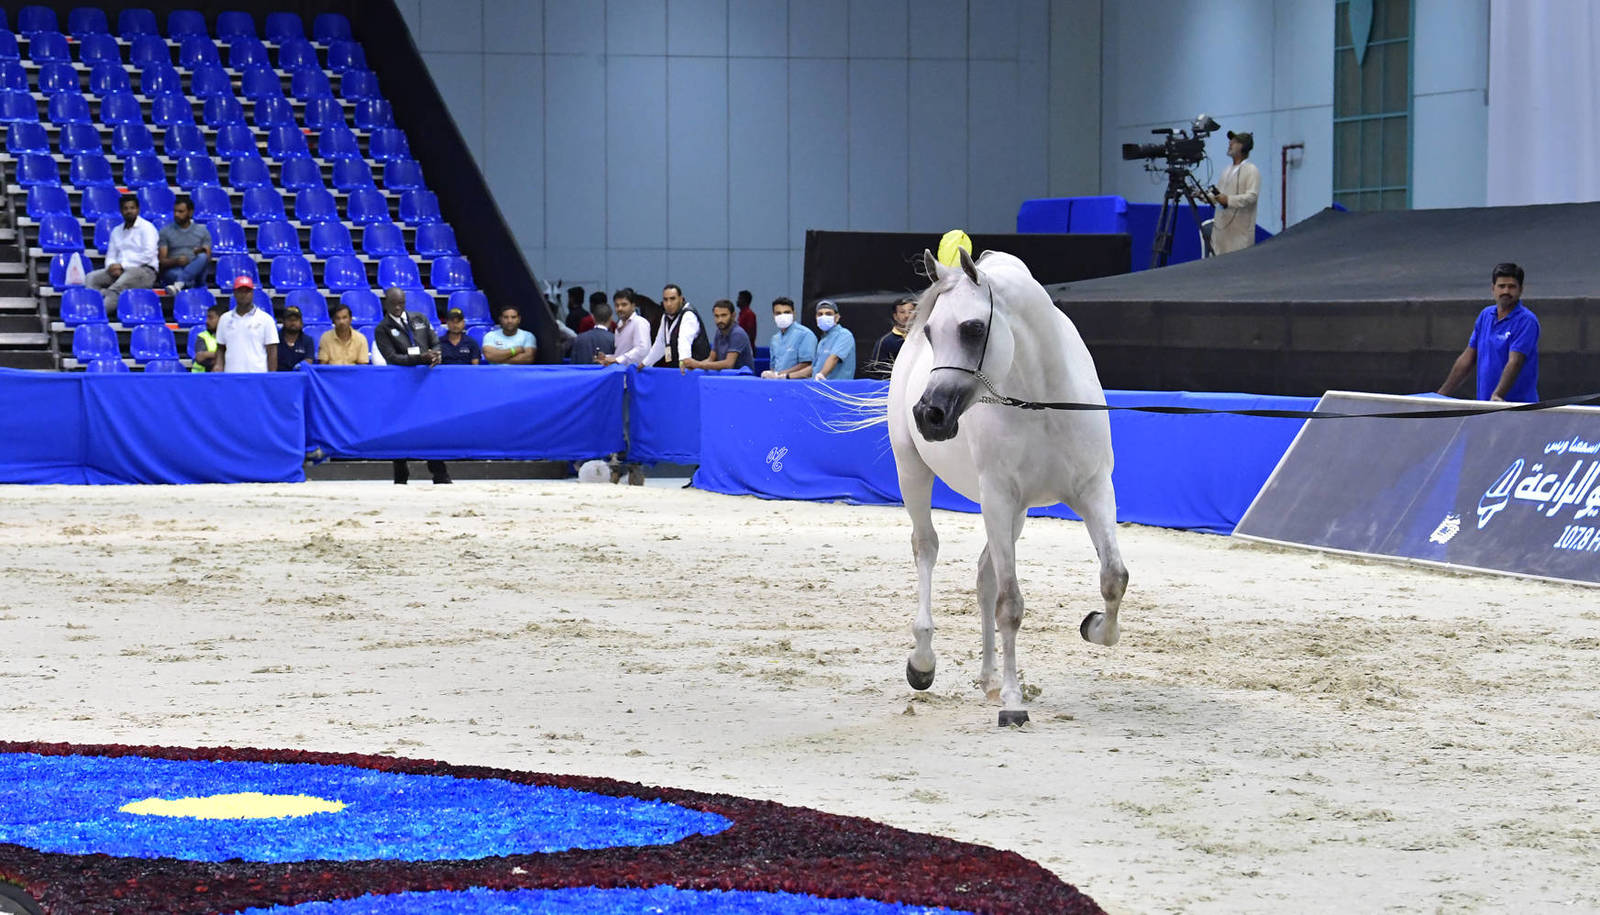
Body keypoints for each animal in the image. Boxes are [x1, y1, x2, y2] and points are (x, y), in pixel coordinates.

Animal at [888, 247, 1128, 726]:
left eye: (973, 329)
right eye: (930, 331)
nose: (928, 414)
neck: (1044, 402)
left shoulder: (1094, 492)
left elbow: (1113, 578)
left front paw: (1094, 626)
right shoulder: (997, 498)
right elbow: (1011, 604)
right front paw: (1015, 702)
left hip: (1016, 514)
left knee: (984, 576)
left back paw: (990, 681)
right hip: (914, 473)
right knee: (926, 547)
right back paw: (923, 662)